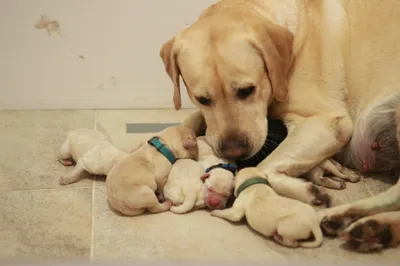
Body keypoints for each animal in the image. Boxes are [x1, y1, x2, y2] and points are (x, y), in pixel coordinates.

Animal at [159, 0, 400, 251]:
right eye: (202, 99)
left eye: (247, 90)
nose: (234, 151)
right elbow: (189, 121)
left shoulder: (328, 122)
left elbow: (262, 167)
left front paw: (308, 191)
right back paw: (372, 227)